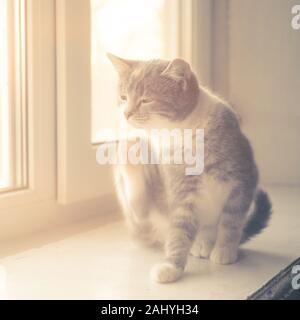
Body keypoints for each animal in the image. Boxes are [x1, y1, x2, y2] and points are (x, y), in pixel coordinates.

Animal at [107, 53, 272, 282]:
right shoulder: (180, 188)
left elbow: (231, 221)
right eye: (123, 97)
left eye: (146, 100)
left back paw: (205, 244)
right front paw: (171, 266)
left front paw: (225, 250)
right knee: (140, 208)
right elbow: (179, 229)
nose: (126, 114)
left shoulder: (243, 177)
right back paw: (131, 154)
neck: (183, 130)